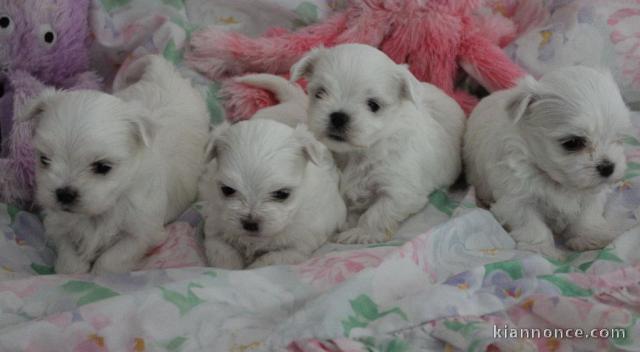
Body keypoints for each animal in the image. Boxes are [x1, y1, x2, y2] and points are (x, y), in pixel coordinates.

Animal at [20, 55, 209, 276]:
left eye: (103, 167)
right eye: (44, 159)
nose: (64, 194)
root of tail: (163, 73)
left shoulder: (143, 231)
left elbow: (112, 259)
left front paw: (100, 273)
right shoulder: (58, 222)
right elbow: (68, 255)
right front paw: (73, 268)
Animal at [201, 118, 348, 270]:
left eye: (282, 194)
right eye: (227, 190)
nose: (250, 223)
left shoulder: (299, 245)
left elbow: (273, 259)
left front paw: (253, 267)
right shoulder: (214, 226)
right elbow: (221, 250)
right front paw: (231, 265)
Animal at [290, 42, 464, 243]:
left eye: (373, 105)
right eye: (320, 93)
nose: (338, 117)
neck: (356, 153)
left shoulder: (400, 189)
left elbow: (378, 212)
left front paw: (360, 232)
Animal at [462, 66, 632, 258]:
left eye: (619, 139)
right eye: (572, 143)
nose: (608, 167)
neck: (557, 181)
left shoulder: (592, 194)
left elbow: (587, 215)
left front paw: (592, 237)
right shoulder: (516, 198)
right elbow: (531, 224)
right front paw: (541, 249)